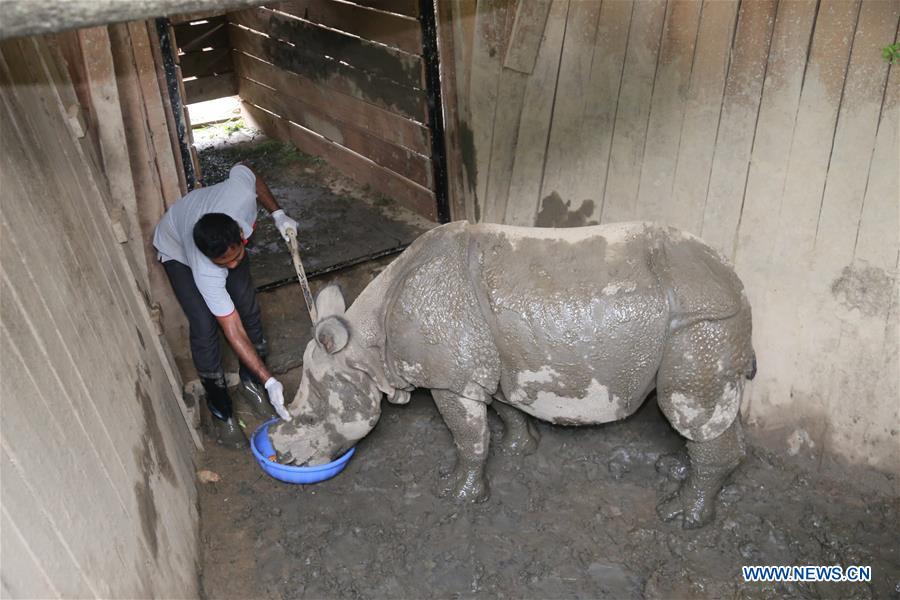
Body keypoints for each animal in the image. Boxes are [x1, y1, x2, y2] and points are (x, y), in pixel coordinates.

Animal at [270, 221, 756, 528]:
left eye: (310, 415)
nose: (283, 458)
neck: (364, 346)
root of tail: (735, 280)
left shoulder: (452, 380)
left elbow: (466, 438)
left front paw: (458, 495)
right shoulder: (497, 360)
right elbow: (504, 409)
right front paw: (518, 447)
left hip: (704, 322)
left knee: (687, 406)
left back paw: (681, 516)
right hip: (710, 322)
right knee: (706, 412)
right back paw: (676, 468)